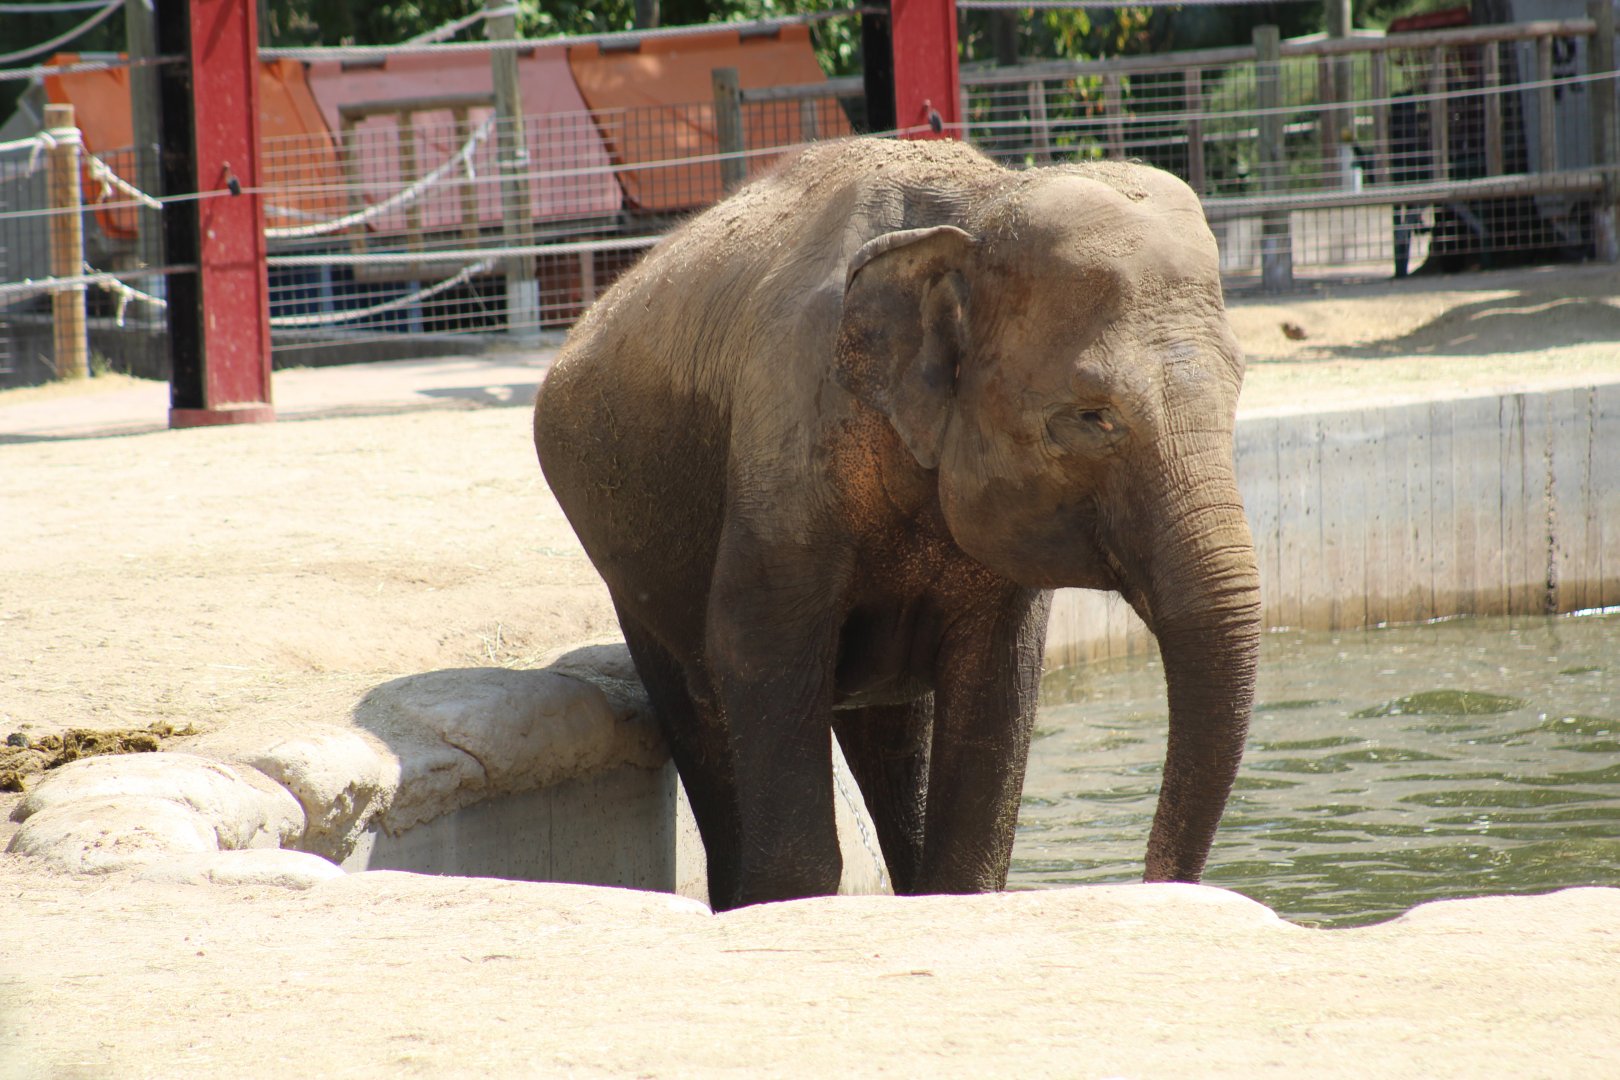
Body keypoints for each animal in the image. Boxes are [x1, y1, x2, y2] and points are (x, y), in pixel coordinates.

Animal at [534, 137, 1261, 911]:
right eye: (1092, 416)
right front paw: (791, 902)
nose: (1154, 885)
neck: (983, 206)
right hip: (626, 562)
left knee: (891, 730)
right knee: (698, 708)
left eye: (1239, 386)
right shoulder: (788, 434)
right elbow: (753, 640)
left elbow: (998, 673)